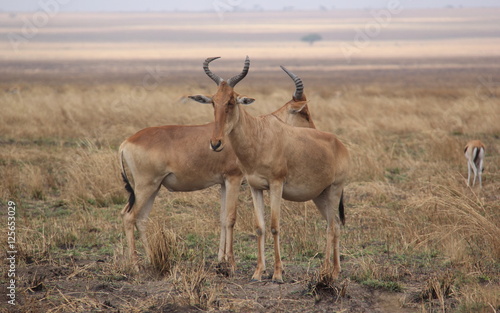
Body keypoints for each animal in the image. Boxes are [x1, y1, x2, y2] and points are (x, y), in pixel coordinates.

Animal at [119, 58, 316, 270]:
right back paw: (136, 265)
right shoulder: (233, 179)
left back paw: (150, 259)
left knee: (142, 219)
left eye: (231, 100)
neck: (253, 130)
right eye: (304, 113)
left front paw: (221, 259)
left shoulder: (222, 182)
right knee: (129, 216)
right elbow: (230, 218)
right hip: (145, 186)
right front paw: (232, 263)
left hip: (154, 187)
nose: (316, 133)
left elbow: (222, 218)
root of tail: (126, 142)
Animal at [189, 56, 350, 282]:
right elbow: (260, 227)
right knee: (334, 224)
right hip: (320, 195)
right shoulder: (255, 187)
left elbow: (274, 227)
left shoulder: (276, 185)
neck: (260, 134)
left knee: (330, 228)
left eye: (232, 100)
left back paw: (326, 271)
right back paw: (335, 270)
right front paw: (258, 272)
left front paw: (277, 273)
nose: (215, 143)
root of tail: (339, 144)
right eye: (214, 101)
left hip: (335, 189)